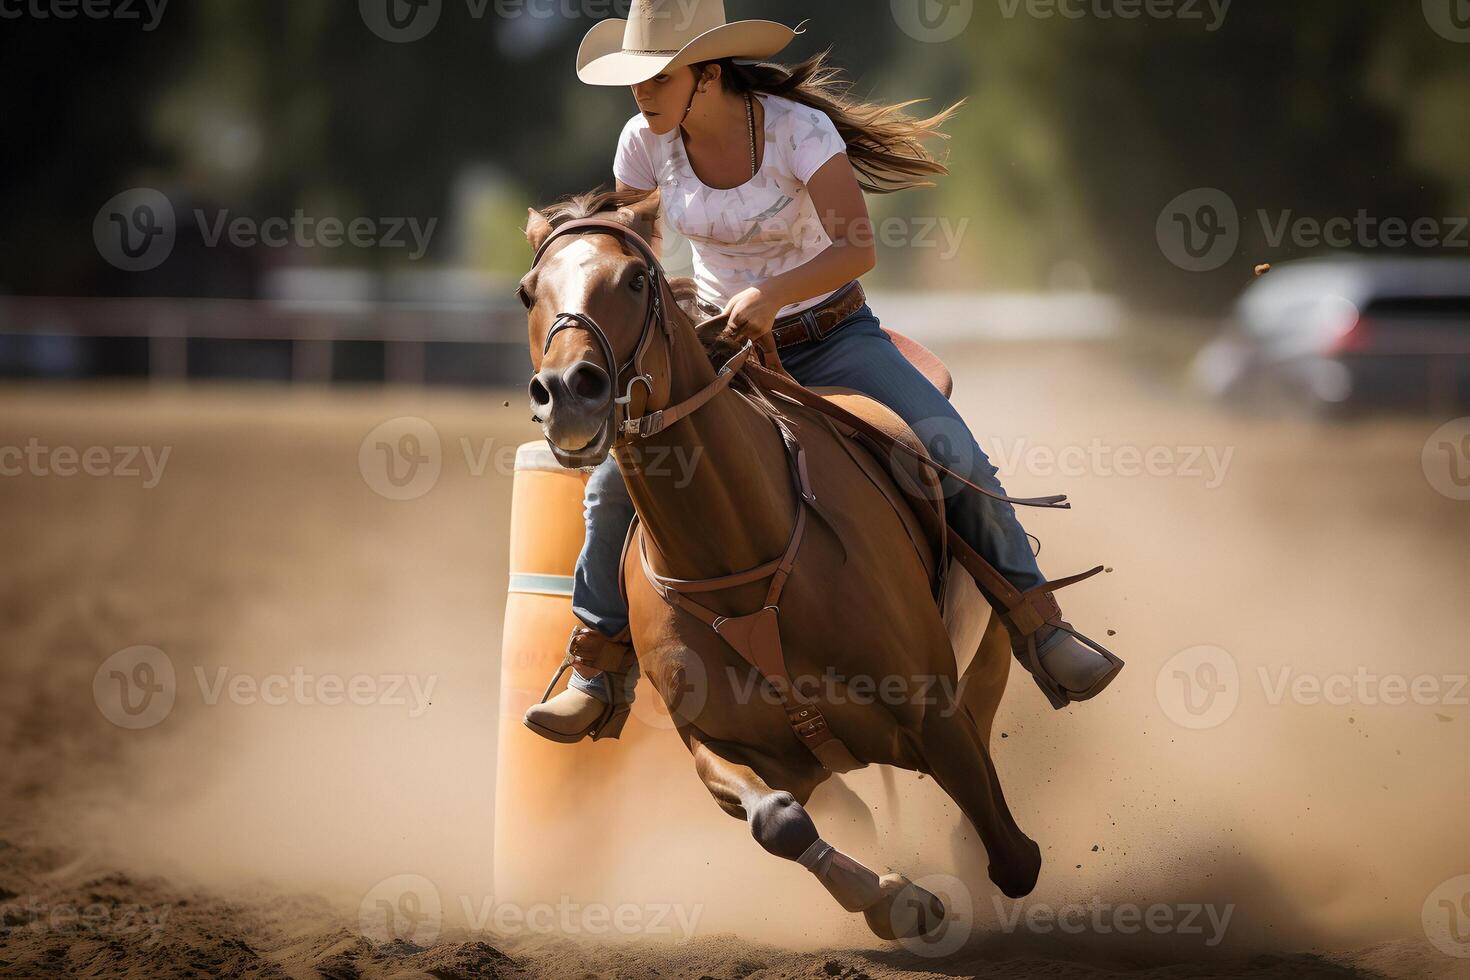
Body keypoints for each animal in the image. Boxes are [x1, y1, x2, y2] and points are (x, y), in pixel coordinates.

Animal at [523, 185, 1040, 940]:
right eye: (528, 291)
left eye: (637, 278)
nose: (567, 390)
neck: (739, 554)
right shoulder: (718, 743)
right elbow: (780, 821)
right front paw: (898, 899)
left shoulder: (935, 713)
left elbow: (1011, 854)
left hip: (991, 654)